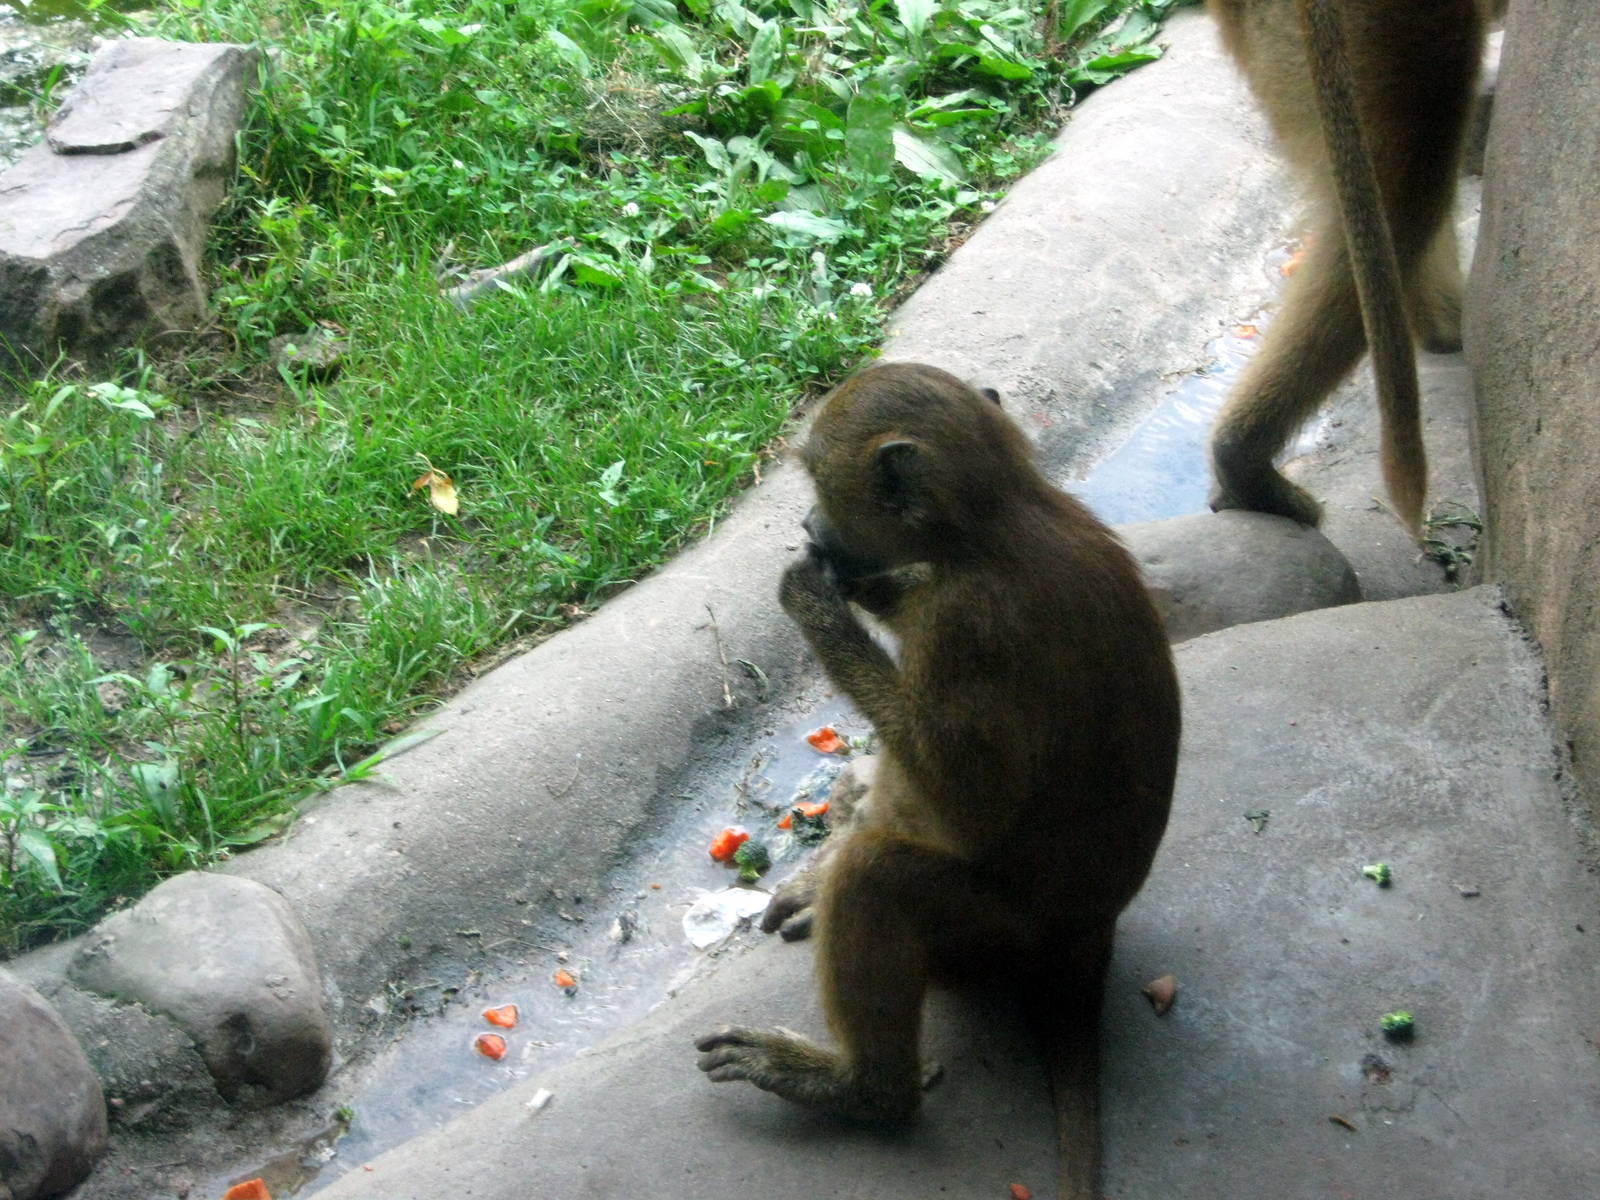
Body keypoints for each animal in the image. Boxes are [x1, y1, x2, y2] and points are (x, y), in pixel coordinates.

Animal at [695, 363, 1181, 1200]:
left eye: (819, 486)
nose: (809, 526)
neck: (999, 525)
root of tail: (1087, 939)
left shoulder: (965, 624)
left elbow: (969, 808)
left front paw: (816, 601)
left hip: (988, 946)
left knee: (879, 876)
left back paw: (864, 1091)